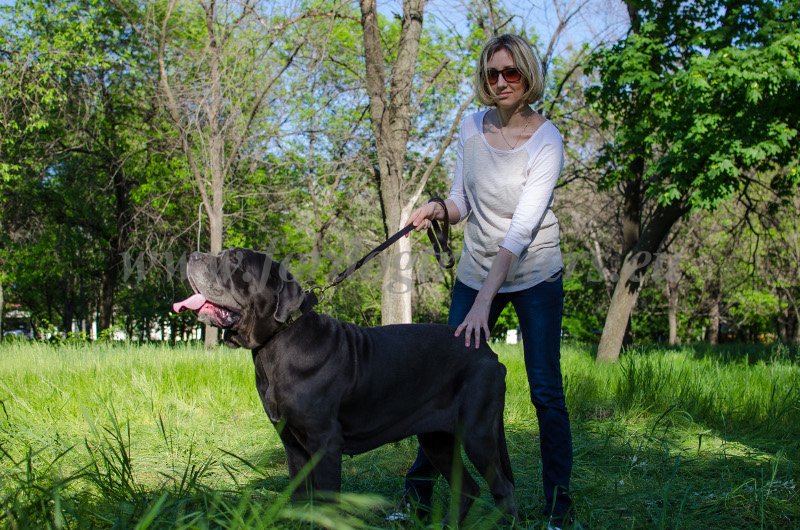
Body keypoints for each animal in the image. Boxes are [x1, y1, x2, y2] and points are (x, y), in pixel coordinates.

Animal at [172, 249, 516, 520]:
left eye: (234, 260)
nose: (192, 255)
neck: (276, 342)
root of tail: (488, 351)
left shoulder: (326, 442)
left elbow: (326, 501)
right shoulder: (292, 444)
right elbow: (301, 497)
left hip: (478, 434)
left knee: (503, 488)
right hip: (437, 441)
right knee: (469, 487)